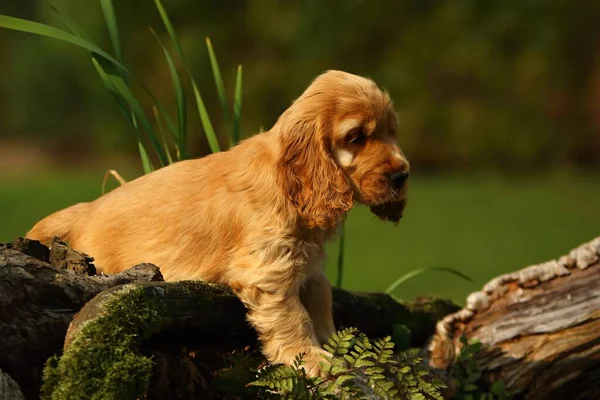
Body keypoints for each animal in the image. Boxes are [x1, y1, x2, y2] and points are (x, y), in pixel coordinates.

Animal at [28, 70, 412, 376]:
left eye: (393, 132)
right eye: (356, 137)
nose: (402, 175)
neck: (288, 180)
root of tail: (81, 211)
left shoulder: (310, 266)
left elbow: (321, 301)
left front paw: (336, 348)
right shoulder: (268, 270)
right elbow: (295, 315)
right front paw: (309, 356)